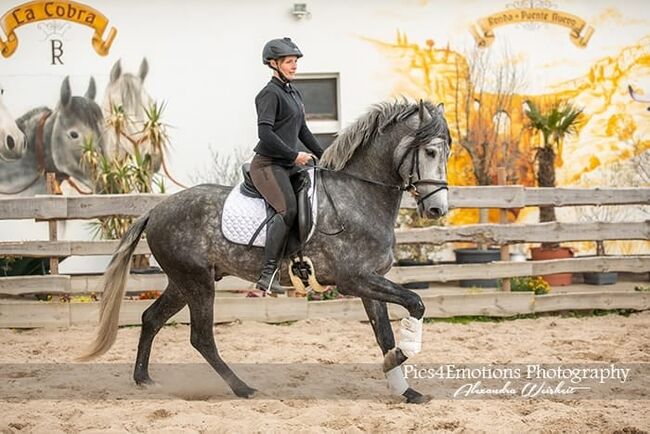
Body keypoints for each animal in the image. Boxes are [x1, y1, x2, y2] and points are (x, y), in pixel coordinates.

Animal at [82, 100, 450, 402]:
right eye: (431, 152)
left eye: (447, 153)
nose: (438, 209)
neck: (358, 195)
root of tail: (155, 210)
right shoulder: (355, 280)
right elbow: (416, 303)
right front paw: (400, 358)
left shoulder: (371, 281)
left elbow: (384, 333)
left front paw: (406, 390)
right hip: (198, 283)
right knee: (201, 338)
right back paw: (244, 389)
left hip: (183, 281)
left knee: (151, 319)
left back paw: (144, 380)